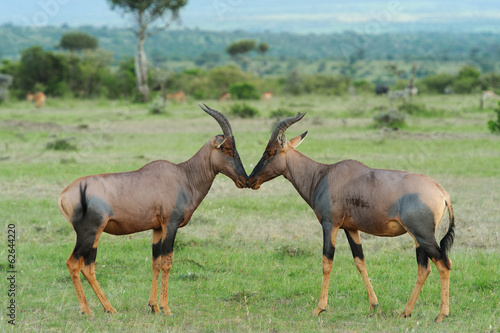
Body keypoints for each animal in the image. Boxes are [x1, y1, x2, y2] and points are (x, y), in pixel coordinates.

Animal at [59, 105, 247, 316]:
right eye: (227, 148)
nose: (245, 180)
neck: (183, 176)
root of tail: (64, 195)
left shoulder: (157, 228)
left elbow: (155, 262)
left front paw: (154, 306)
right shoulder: (170, 224)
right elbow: (167, 261)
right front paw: (166, 308)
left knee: (86, 265)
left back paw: (105, 308)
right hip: (90, 232)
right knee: (76, 263)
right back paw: (92, 310)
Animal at [248, 113, 456, 320]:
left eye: (270, 152)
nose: (251, 181)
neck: (323, 175)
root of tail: (441, 191)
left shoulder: (329, 224)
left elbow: (327, 262)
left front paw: (319, 308)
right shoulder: (350, 228)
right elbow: (360, 261)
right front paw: (373, 305)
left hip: (422, 235)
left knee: (443, 263)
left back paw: (441, 315)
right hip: (417, 237)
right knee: (424, 268)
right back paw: (405, 311)